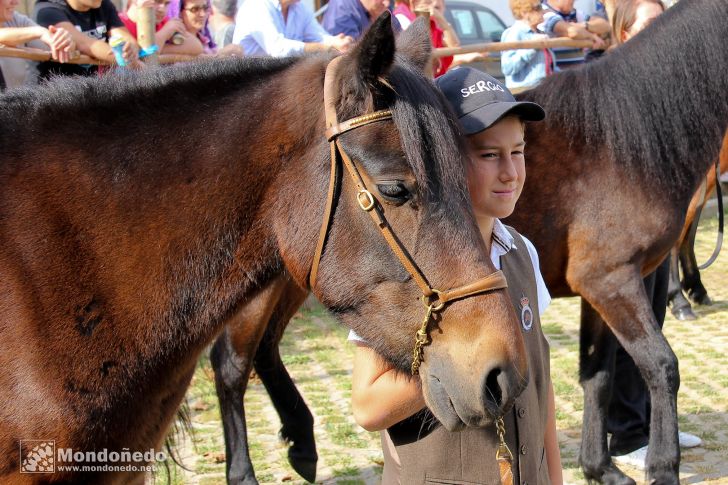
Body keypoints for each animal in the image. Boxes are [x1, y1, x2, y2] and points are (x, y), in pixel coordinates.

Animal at [213, 0, 728, 482]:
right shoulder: (610, 280)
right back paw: (245, 470)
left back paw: (302, 445)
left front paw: (600, 468)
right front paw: (662, 467)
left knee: (264, 351)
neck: (619, 143)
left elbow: (597, 375)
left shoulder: (598, 288)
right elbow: (661, 365)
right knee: (232, 364)